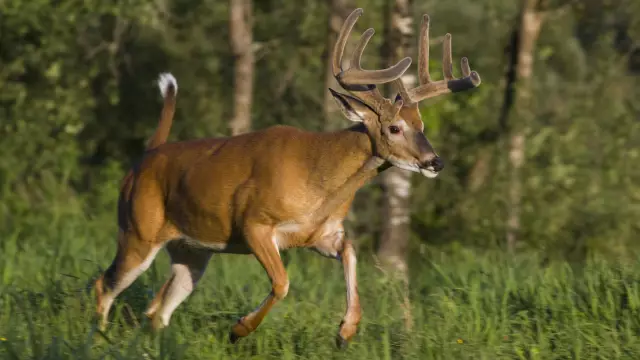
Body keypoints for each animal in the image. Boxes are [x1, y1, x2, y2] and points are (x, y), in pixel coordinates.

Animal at [94, 7, 480, 348]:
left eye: (422, 125)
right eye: (394, 127)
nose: (435, 162)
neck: (322, 184)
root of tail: (144, 159)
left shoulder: (320, 234)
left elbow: (351, 252)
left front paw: (345, 331)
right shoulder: (254, 223)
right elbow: (282, 283)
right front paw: (238, 329)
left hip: (191, 250)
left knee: (157, 310)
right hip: (138, 230)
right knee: (104, 284)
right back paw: (97, 339)